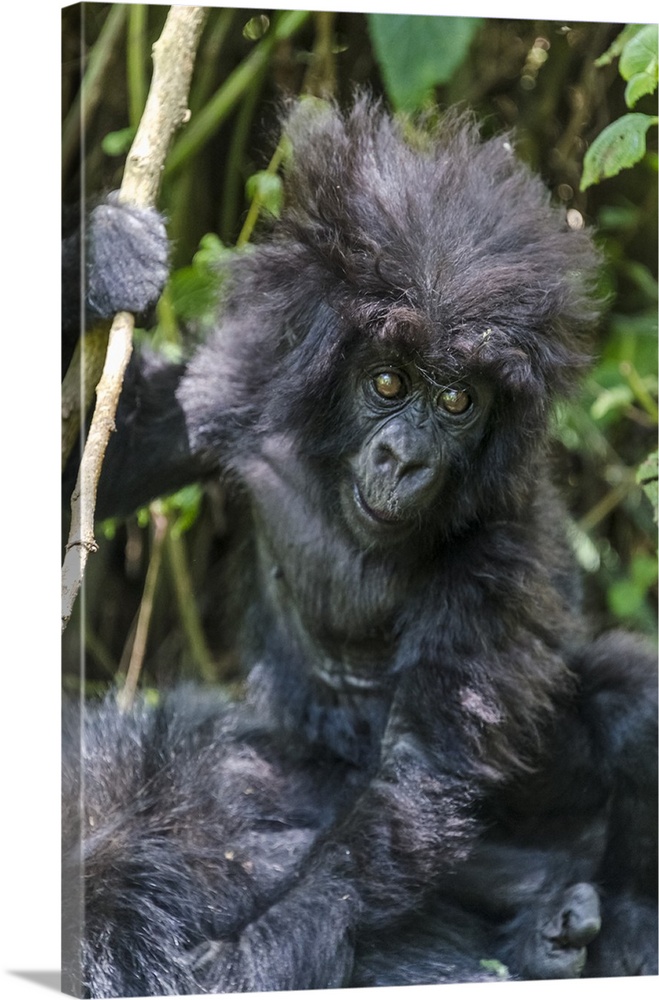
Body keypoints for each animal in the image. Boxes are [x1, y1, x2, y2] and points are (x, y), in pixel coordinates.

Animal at [60, 97, 656, 996]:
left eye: (457, 400)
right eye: (386, 382)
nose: (404, 458)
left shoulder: (499, 543)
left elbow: (418, 774)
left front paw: (266, 944)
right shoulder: (241, 385)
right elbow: (100, 462)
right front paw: (98, 263)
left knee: (630, 702)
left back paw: (608, 928)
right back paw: (539, 926)